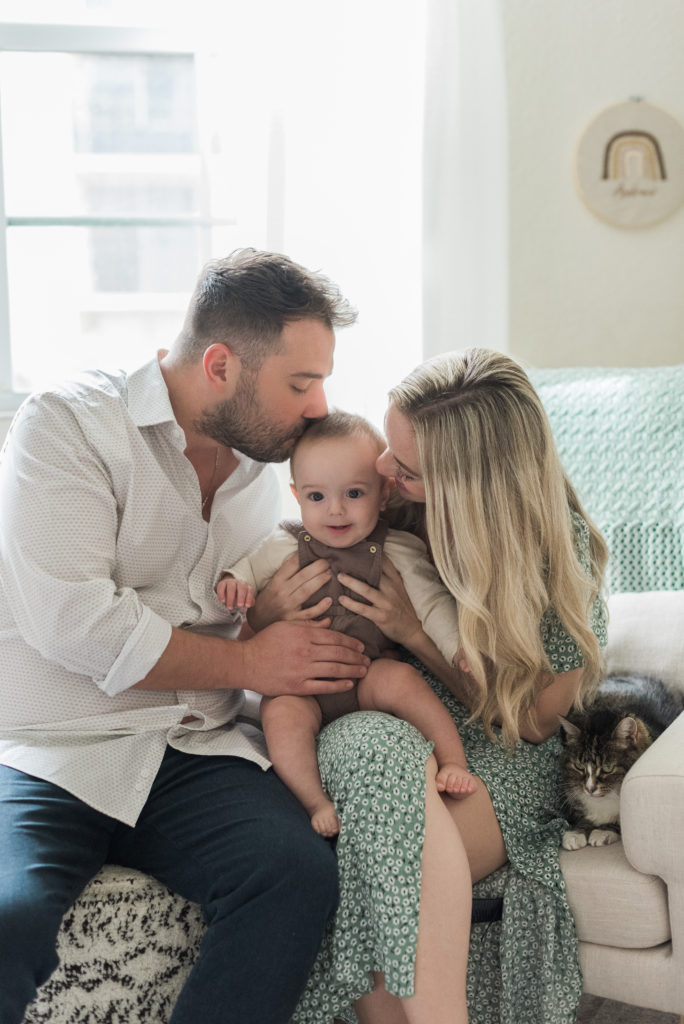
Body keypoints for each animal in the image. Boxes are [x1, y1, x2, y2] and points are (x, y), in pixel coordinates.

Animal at [557, 675, 679, 851]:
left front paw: (602, 831)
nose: (589, 789)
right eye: (579, 766)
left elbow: (617, 822)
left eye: (608, 768)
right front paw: (576, 833)